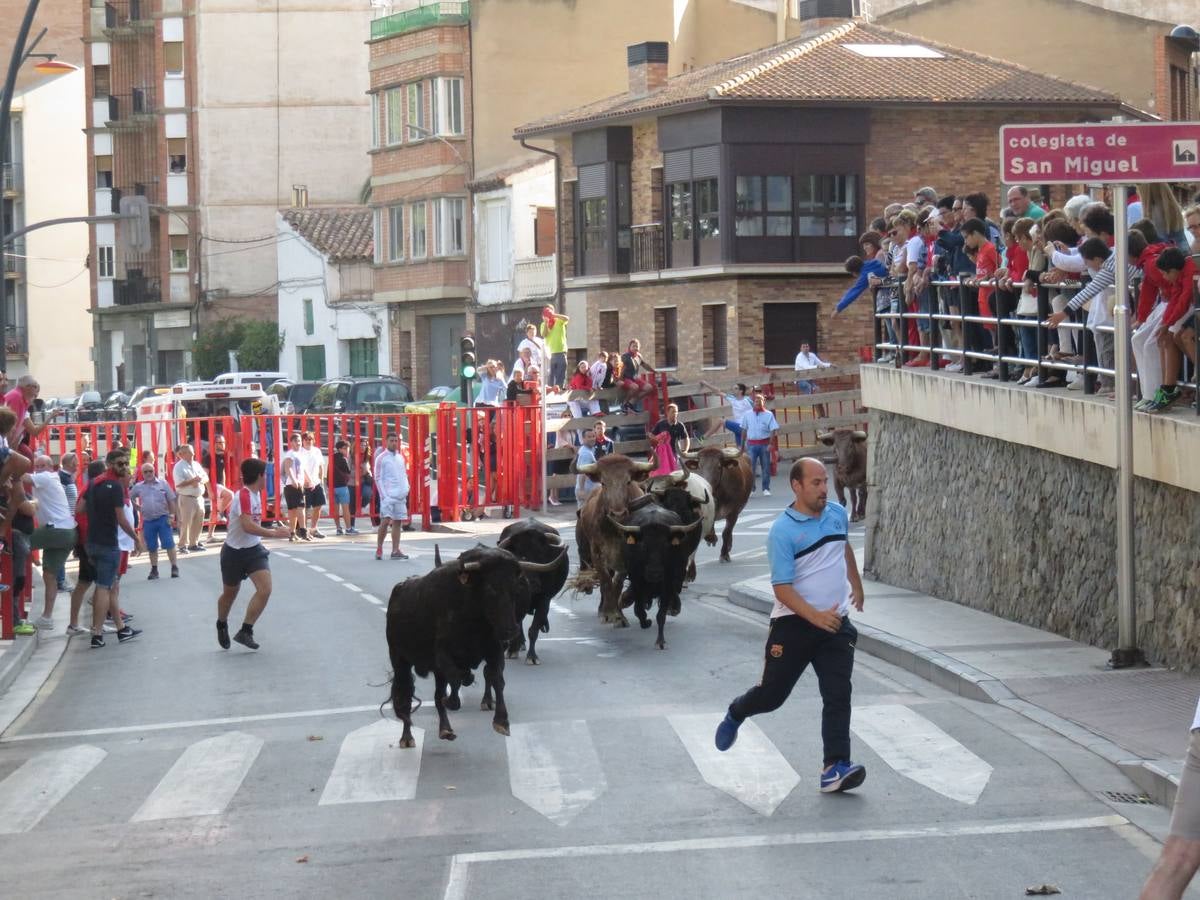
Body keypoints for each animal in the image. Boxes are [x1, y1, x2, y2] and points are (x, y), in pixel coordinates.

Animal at [573, 451, 657, 628]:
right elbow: (605, 581)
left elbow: (617, 582)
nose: (617, 513)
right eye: (604, 482)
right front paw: (609, 613)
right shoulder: (596, 553)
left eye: (628, 481)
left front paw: (617, 615)